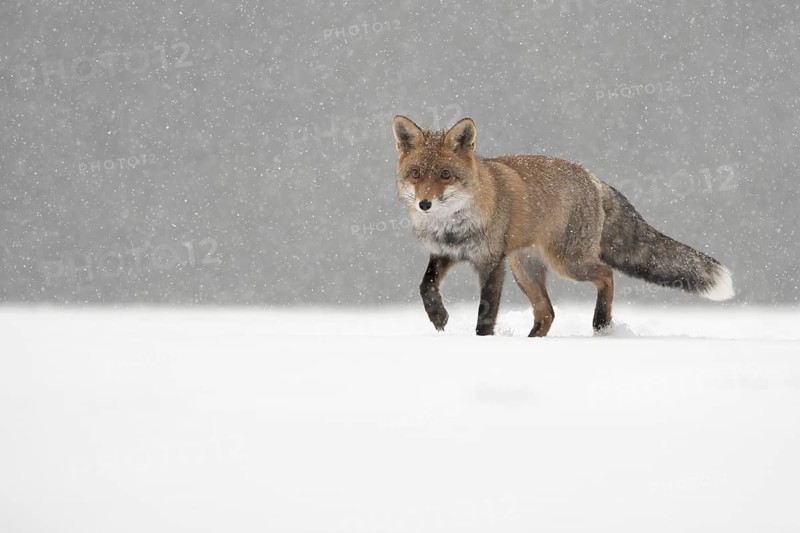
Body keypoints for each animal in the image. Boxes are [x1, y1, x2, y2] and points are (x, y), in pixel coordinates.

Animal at [391, 115, 734, 337]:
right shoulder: (444, 253)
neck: (451, 226)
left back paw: (601, 325)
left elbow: (486, 313)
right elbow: (425, 287)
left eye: (445, 175)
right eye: (416, 174)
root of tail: (593, 178)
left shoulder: (491, 261)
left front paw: (481, 341)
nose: (425, 204)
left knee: (606, 275)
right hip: (525, 269)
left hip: (567, 263)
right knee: (547, 313)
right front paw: (438, 317)